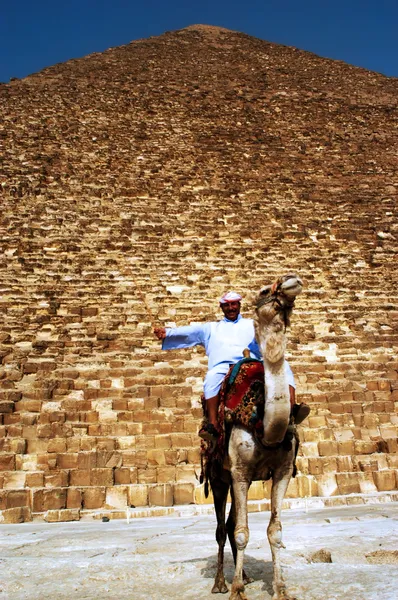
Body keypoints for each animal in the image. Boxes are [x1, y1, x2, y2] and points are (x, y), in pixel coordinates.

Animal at [208, 274, 302, 596]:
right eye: (263, 290)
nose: (291, 281)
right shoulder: (239, 471)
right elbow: (240, 532)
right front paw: (236, 591)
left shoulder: (283, 471)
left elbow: (275, 531)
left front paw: (281, 589)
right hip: (219, 476)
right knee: (221, 528)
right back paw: (221, 583)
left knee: (230, 521)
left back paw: (246, 575)